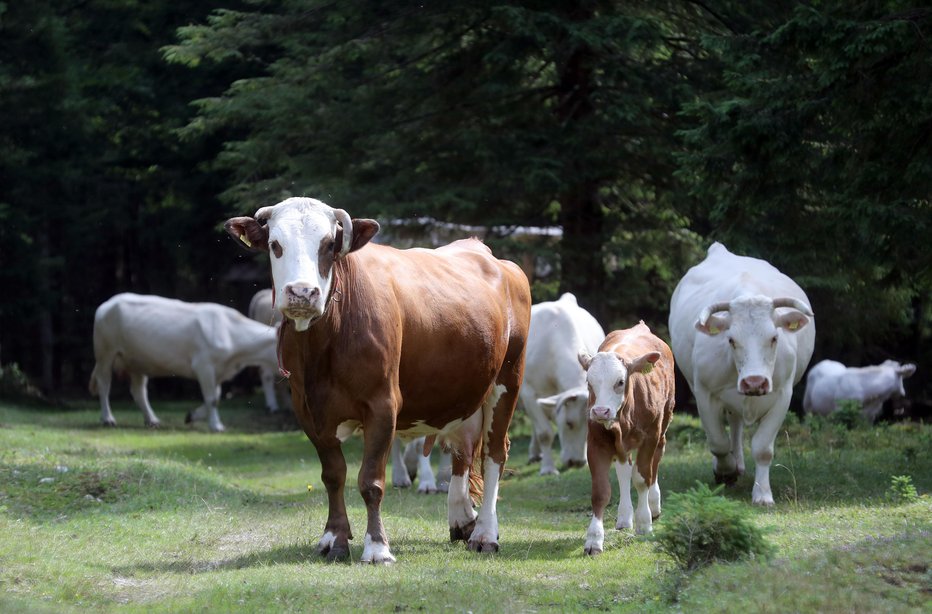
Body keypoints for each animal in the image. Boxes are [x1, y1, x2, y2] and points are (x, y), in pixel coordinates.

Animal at [88, 294, 278, 434]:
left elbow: (215, 397)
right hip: (105, 353)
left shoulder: (217, 371)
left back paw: (152, 420)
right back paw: (108, 419)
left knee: (139, 391)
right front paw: (216, 425)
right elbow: (212, 399)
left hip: (136, 360)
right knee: (104, 385)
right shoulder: (204, 366)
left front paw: (192, 416)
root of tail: (109, 303)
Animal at [226, 200, 532, 564]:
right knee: (463, 450)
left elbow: (370, 481)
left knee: (494, 453)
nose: (302, 292)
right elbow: (333, 476)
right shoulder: (308, 410)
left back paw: (485, 533)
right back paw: (462, 519)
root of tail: (484, 251)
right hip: (462, 391)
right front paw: (334, 538)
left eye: (328, 245)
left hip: (507, 380)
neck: (324, 346)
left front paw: (377, 547)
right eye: (275, 245)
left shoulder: (382, 405)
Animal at [580, 324, 672, 556]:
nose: (600, 411)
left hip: (663, 424)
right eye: (589, 382)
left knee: (655, 462)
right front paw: (594, 539)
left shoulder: (649, 437)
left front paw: (644, 522)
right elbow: (600, 492)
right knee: (624, 469)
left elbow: (642, 478)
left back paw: (653, 504)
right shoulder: (596, 442)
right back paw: (624, 516)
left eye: (620, 382)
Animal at [668, 243, 816, 508]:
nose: (754, 381)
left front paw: (763, 493)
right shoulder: (704, 392)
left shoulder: (783, 395)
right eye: (731, 339)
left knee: (736, 424)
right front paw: (725, 471)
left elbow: (763, 448)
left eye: (774, 337)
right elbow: (718, 442)